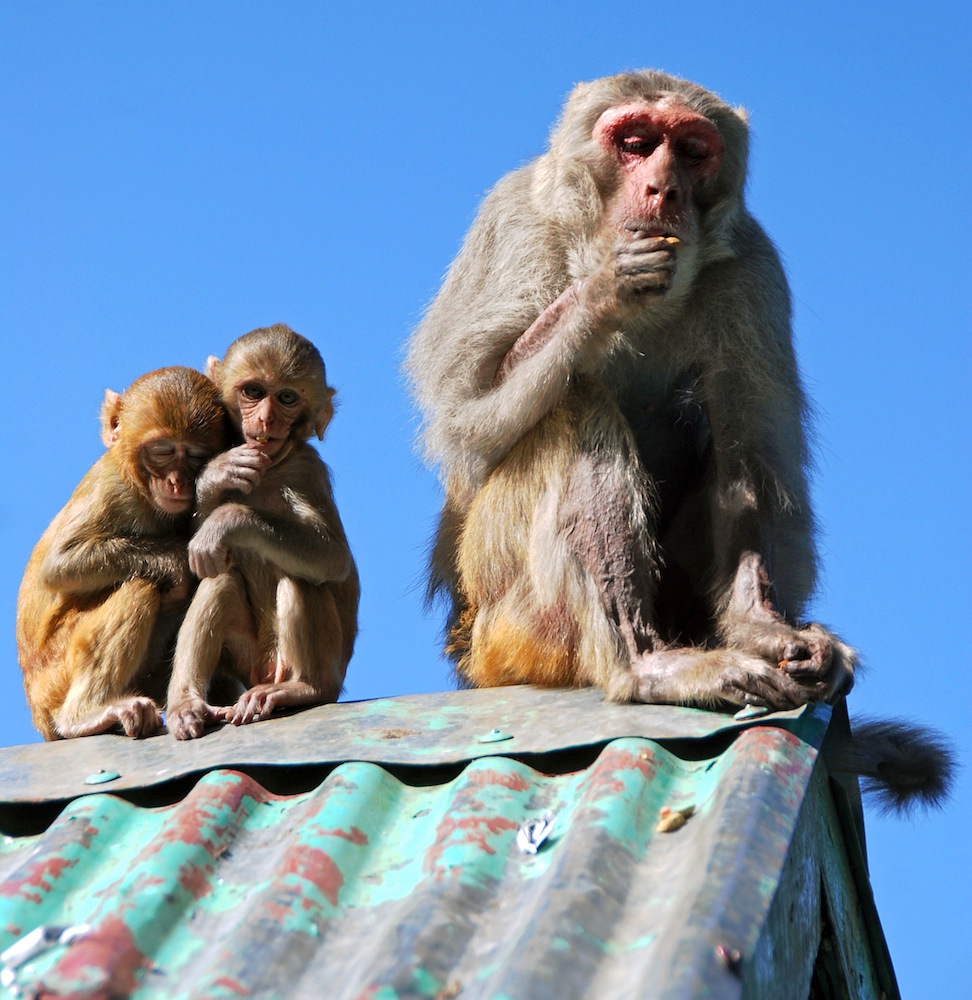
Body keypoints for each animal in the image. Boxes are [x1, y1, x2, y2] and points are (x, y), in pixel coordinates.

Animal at [15, 364, 228, 740]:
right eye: (162, 450)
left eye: (195, 456)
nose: (177, 483)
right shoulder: (112, 488)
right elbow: (59, 565)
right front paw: (176, 563)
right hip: (54, 674)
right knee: (139, 586)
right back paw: (83, 715)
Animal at [168, 324, 360, 740]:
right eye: (254, 391)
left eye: (287, 397)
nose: (268, 420)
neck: (272, 468)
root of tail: (268, 669)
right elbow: (202, 557)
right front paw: (217, 475)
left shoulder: (307, 472)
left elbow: (333, 558)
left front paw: (229, 519)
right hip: (249, 658)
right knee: (220, 579)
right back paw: (186, 704)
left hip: (321, 667)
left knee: (301, 577)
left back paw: (304, 688)